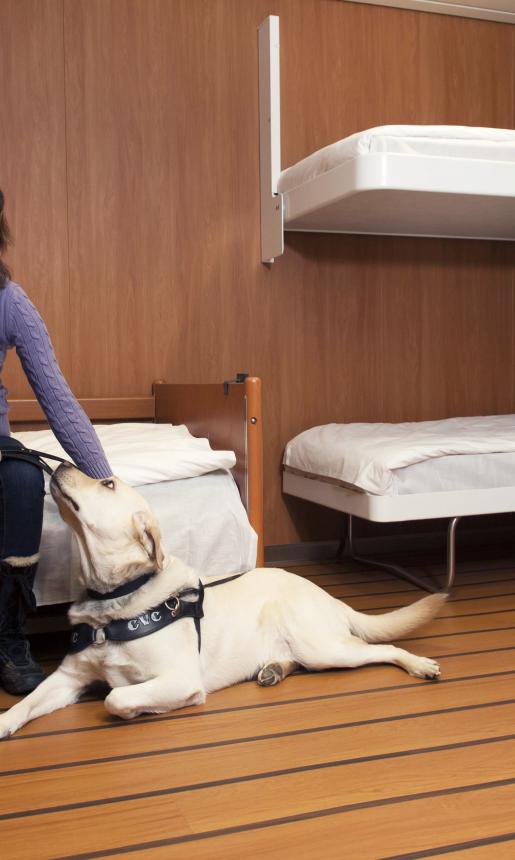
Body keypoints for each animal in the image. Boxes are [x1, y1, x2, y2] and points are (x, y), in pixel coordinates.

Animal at [0, 464, 448, 740]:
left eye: (107, 483)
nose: (58, 465)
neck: (113, 598)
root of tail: (329, 596)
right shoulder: (67, 678)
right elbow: (28, 703)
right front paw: (5, 721)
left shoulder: (181, 678)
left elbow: (116, 697)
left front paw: (140, 710)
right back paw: (273, 670)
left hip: (322, 647)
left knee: (383, 648)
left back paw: (418, 665)